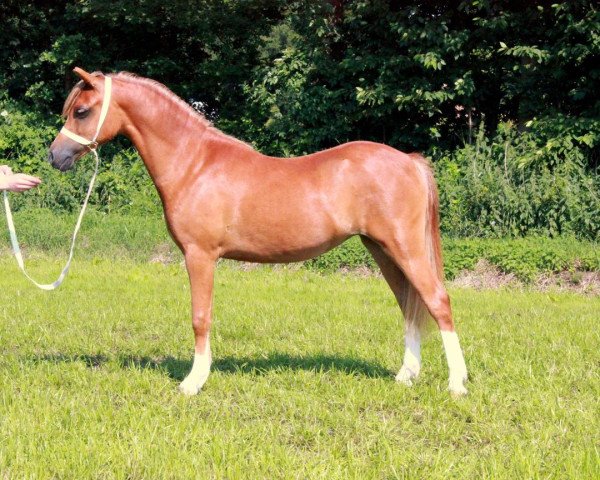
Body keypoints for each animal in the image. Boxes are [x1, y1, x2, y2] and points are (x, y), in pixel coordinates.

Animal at [48, 68, 468, 398]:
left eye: (82, 111)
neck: (195, 163)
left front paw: (193, 382)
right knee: (410, 306)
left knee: (437, 301)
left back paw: (457, 384)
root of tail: (409, 161)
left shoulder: (200, 255)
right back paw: (406, 376)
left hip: (405, 248)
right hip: (383, 250)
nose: (55, 156)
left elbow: (200, 316)